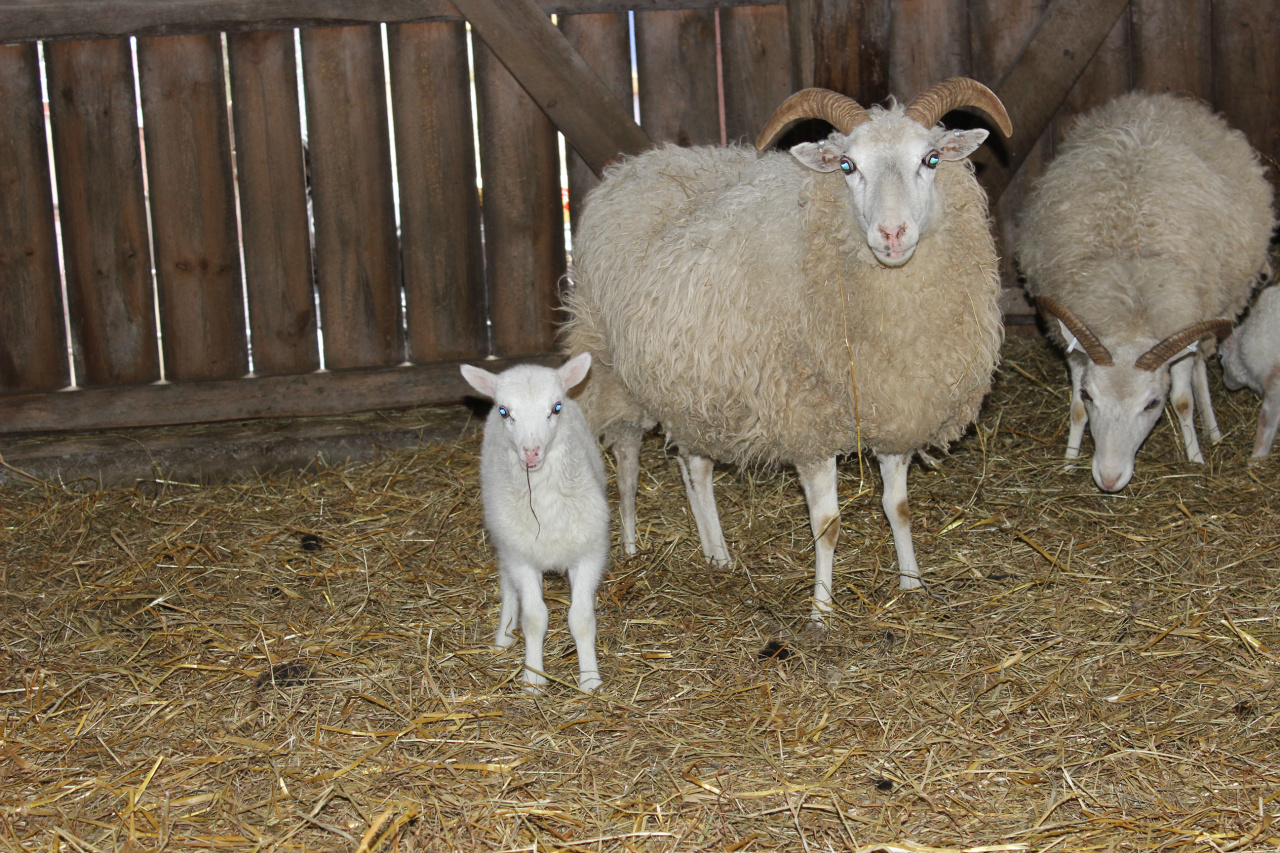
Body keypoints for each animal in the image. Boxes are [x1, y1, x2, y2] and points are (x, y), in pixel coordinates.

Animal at [460, 353, 608, 692]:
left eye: (556, 407)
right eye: (505, 411)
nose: (531, 453)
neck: (545, 504)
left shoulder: (589, 553)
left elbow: (582, 619)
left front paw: (590, 679)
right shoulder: (521, 558)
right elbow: (534, 618)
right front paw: (533, 679)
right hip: (505, 540)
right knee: (507, 588)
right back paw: (503, 636)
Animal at [563, 78, 1012, 622]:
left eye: (930, 159)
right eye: (847, 166)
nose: (892, 234)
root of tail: (637, 164)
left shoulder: (896, 409)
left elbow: (898, 508)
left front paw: (912, 584)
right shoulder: (808, 424)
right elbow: (828, 524)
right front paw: (821, 610)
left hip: (692, 383)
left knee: (695, 466)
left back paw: (717, 554)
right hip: (609, 366)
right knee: (628, 464)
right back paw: (629, 547)